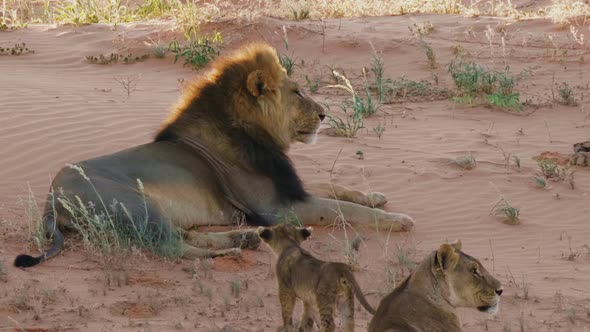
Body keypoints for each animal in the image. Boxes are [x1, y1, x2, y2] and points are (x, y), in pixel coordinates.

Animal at [12, 42, 412, 268]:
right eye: (297, 93)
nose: (325, 114)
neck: (252, 133)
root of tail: (51, 200)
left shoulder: (288, 190)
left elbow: (336, 189)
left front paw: (375, 195)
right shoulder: (278, 207)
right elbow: (342, 210)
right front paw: (398, 219)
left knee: (185, 236)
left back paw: (245, 240)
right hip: (137, 205)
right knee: (172, 248)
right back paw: (228, 253)